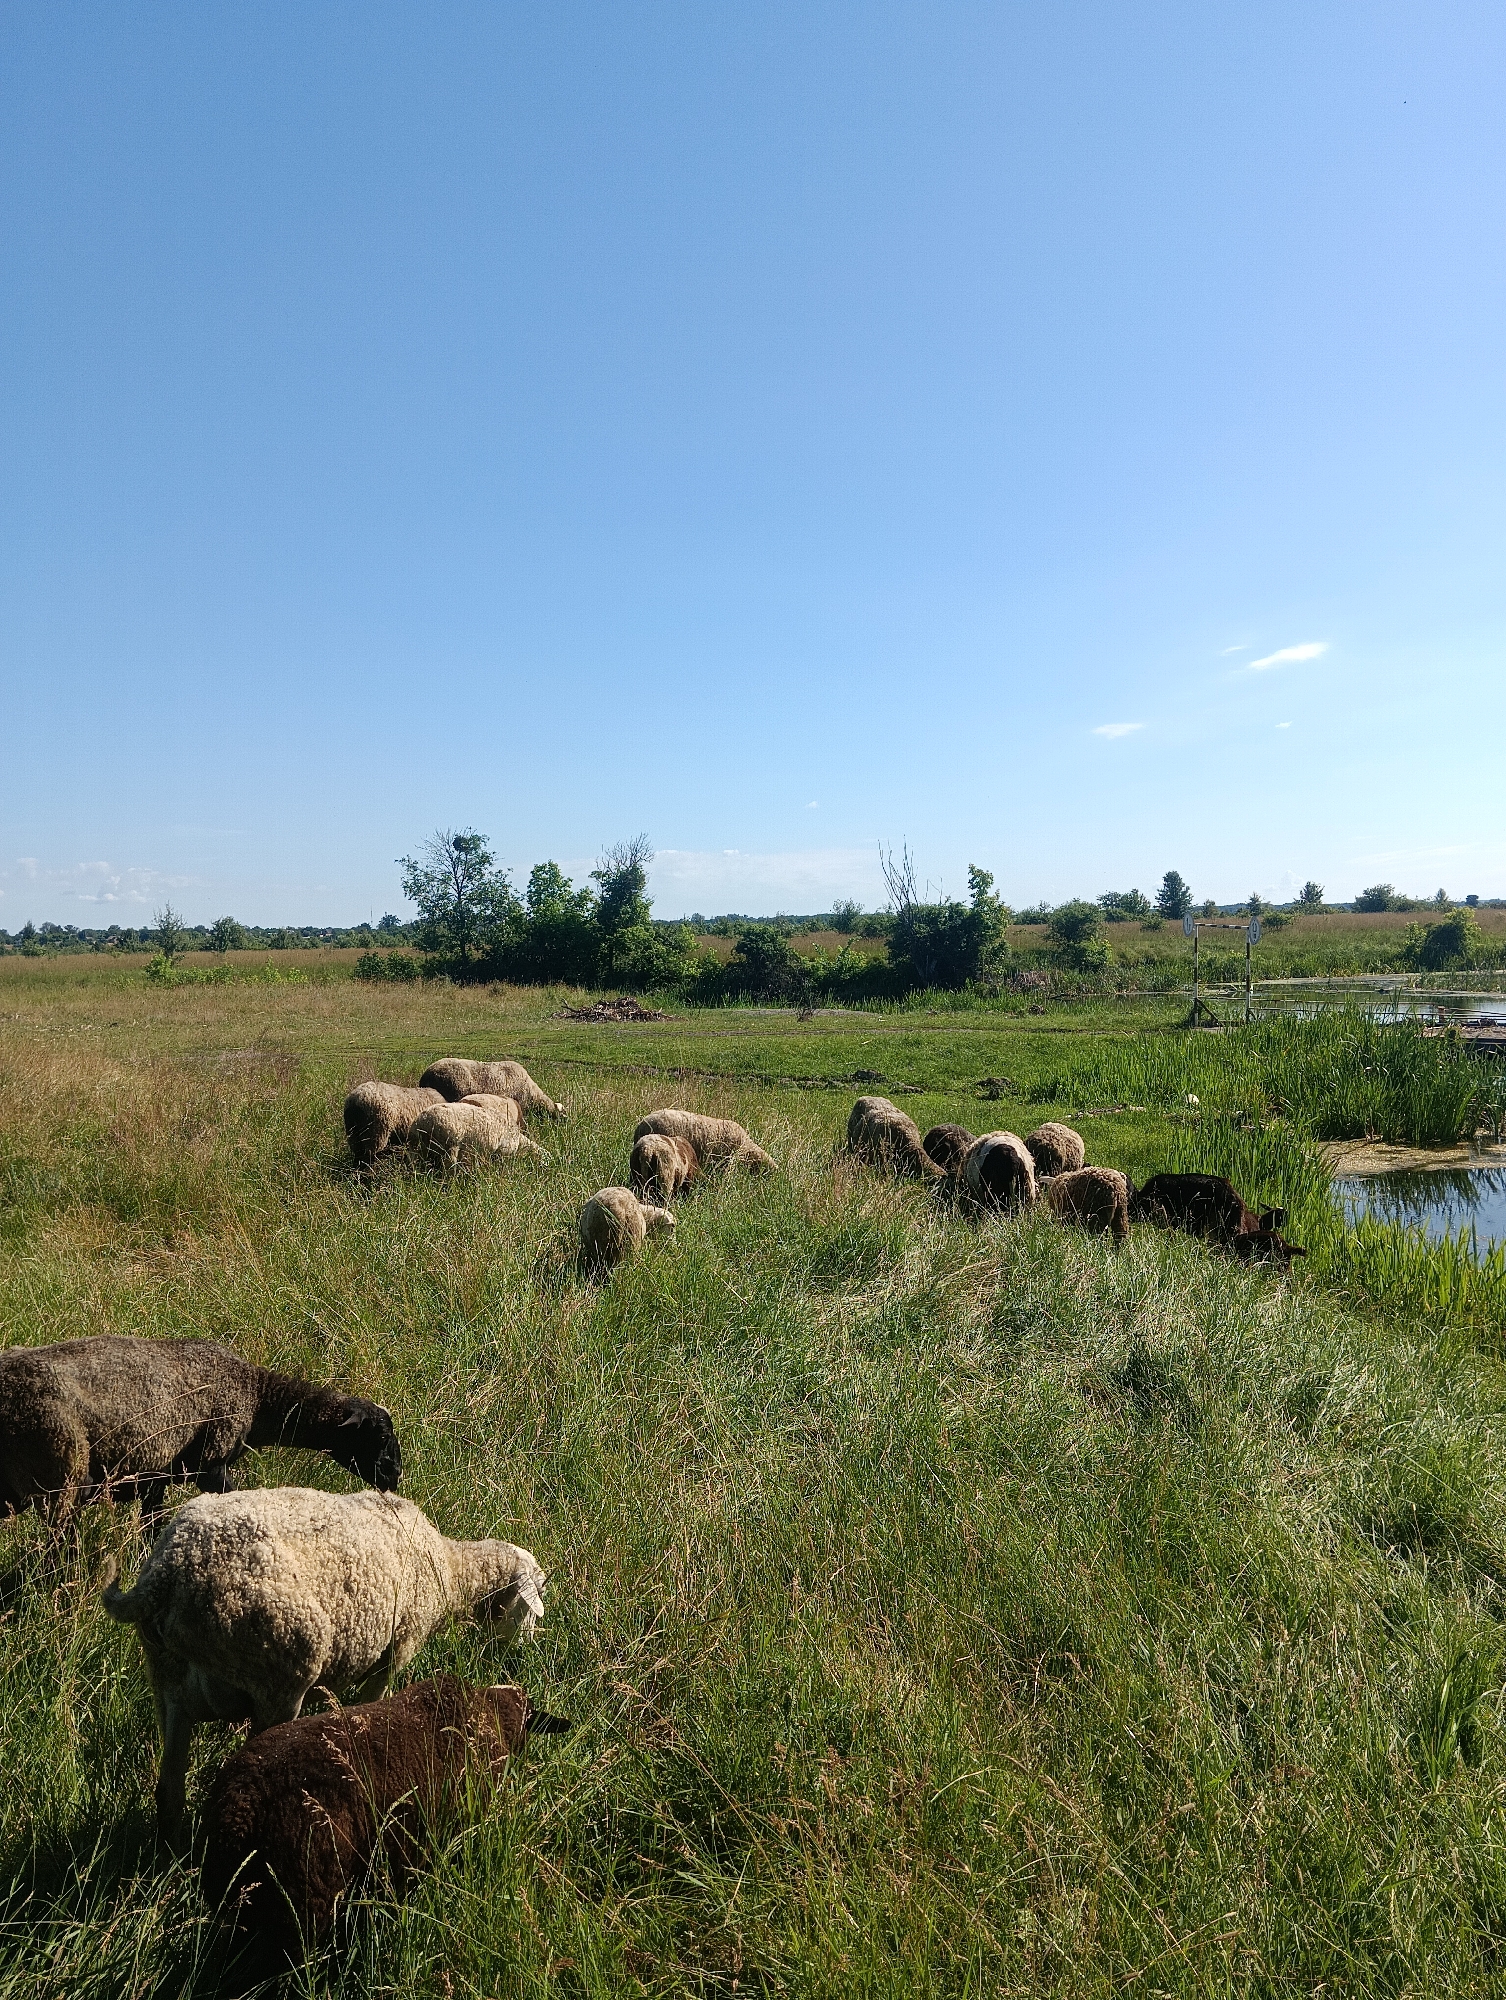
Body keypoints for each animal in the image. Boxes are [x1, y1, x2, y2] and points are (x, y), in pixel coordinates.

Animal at [0, 1336, 400, 1521]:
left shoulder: (156, 1476)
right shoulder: (212, 1463)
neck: (258, 1396)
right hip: (61, 1472)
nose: (394, 1477)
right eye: (380, 1436)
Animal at [100, 1486, 544, 1842]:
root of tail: (167, 1574)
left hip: (167, 1682)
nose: (527, 1652)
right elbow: (370, 1701)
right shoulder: (395, 1651)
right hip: (279, 1675)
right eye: (536, 1595)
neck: (449, 1570)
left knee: (169, 1791)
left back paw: (171, 1857)